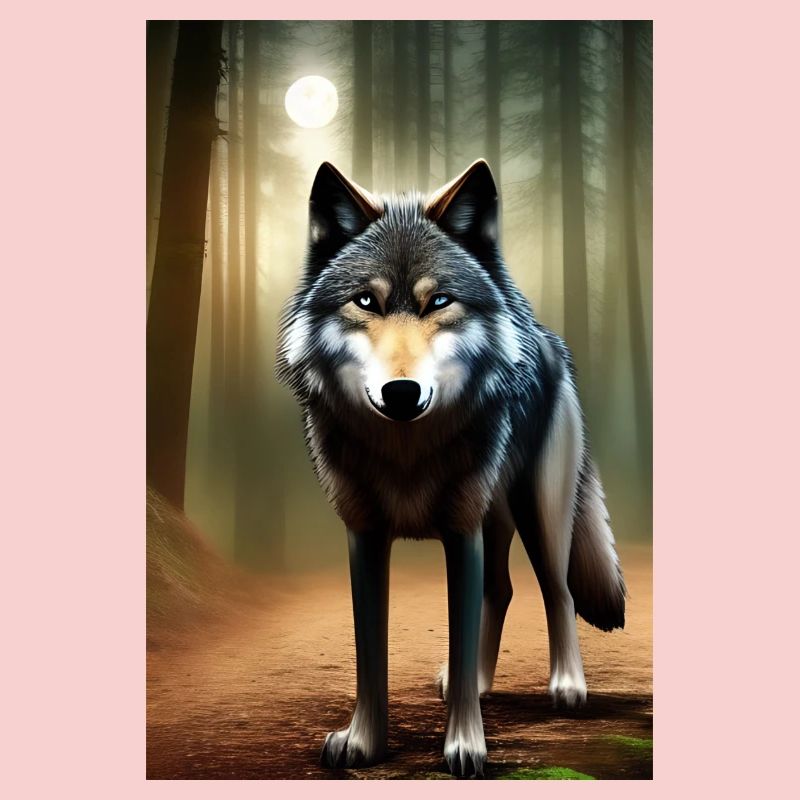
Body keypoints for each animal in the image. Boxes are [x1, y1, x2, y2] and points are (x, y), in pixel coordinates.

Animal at [276, 159, 626, 778]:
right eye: (365, 301)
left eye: (439, 301)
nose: (401, 392)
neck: (406, 451)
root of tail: (547, 337)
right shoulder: (365, 536)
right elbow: (370, 651)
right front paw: (363, 743)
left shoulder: (461, 532)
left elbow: (461, 638)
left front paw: (465, 746)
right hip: (495, 519)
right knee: (502, 590)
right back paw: (487, 683)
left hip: (538, 512)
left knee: (557, 590)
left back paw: (567, 686)